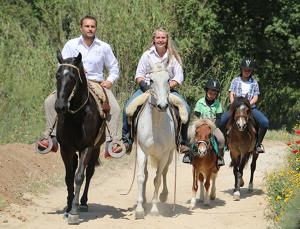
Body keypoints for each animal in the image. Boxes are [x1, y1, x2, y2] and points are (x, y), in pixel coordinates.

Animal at [55, 51, 105, 224]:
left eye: (72, 77)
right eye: (57, 75)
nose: (60, 106)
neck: (77, 115)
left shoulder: (87, 147)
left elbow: (79, 177)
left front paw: (74, 212)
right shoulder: (66, 149)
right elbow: (69, 178)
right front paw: (68, 207)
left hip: (96, 149)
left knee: (89, 173)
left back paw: (83, 202)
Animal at [126, 61, 183, 219]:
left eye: (168, 80)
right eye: (151, 80)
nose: (162, 106)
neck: (156, 124)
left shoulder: (164, 154)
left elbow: (157, 179)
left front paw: (154, 209)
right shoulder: (142, 150)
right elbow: (141, 177)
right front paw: (140, 209)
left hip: (169, 156)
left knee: (163, 173)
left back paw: (163, 196)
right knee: (146, 174)